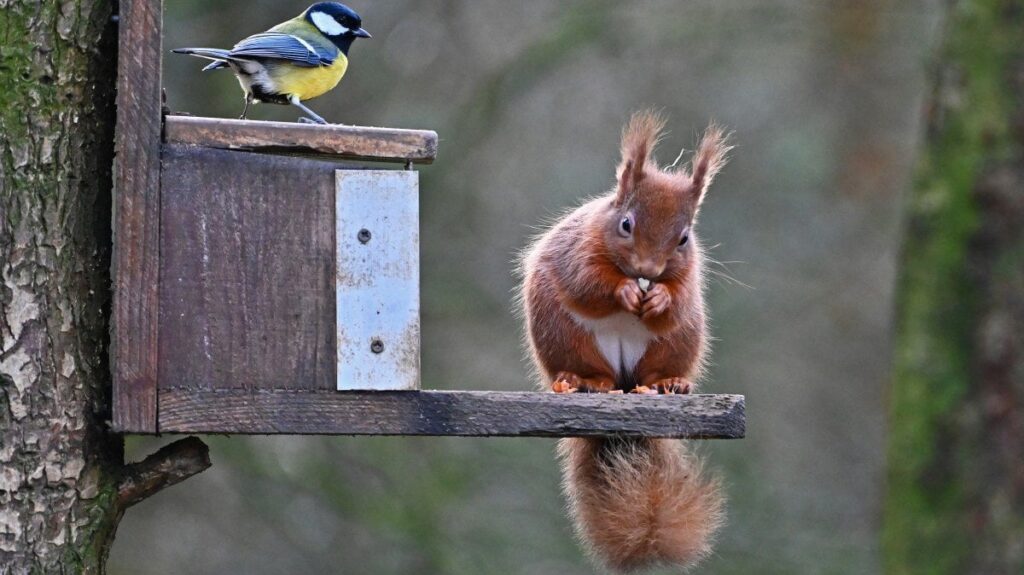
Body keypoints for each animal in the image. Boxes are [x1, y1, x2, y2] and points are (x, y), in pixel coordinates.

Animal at [519, 111, 730, 572]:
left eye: (684, 238)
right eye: (626, 224)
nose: (649, 270)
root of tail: (622, 379)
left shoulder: (688, 277)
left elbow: (676, 300)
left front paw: (660, 297)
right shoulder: (578, 252)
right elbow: (589, 284)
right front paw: (624, 292)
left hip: (678, 340)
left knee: (659, 368)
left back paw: (669, 383)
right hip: (565, 334)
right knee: (587, 367)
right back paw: (584, 381)